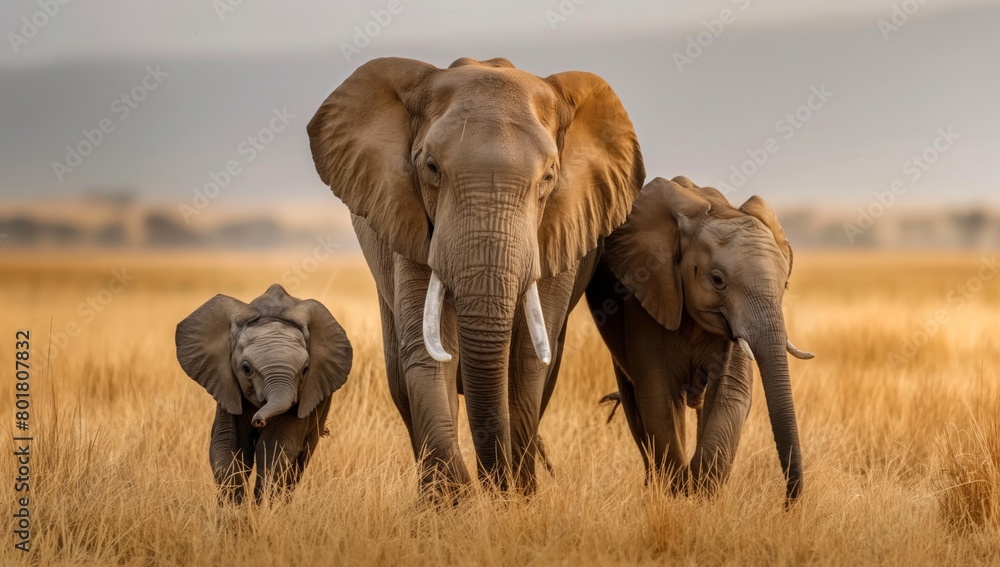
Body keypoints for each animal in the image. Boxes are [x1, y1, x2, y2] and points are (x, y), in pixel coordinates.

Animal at [175, 284, 352, 503]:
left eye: (305, 370)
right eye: (246, 369)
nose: (258, 421)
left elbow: (273, 448)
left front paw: (264, 509)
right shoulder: (227, 387)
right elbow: (230, 445)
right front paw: (235, 509)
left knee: (301, 460)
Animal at [307, 57, 644, 497]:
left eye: (549, 178)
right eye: (431, 168)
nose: (490, 486)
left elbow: (527, 360)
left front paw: (512, 499)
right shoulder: (409, 221)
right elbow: (430, 354)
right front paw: (456, 501)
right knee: (399, 377)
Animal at [585, 176, 814, 503]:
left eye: (784, 285)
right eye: (717, 280)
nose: (787, 504)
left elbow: (731, 392)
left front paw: (700, 494)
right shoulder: (648, 294)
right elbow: (658, 397)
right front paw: (680, 493)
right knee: (635, 405)